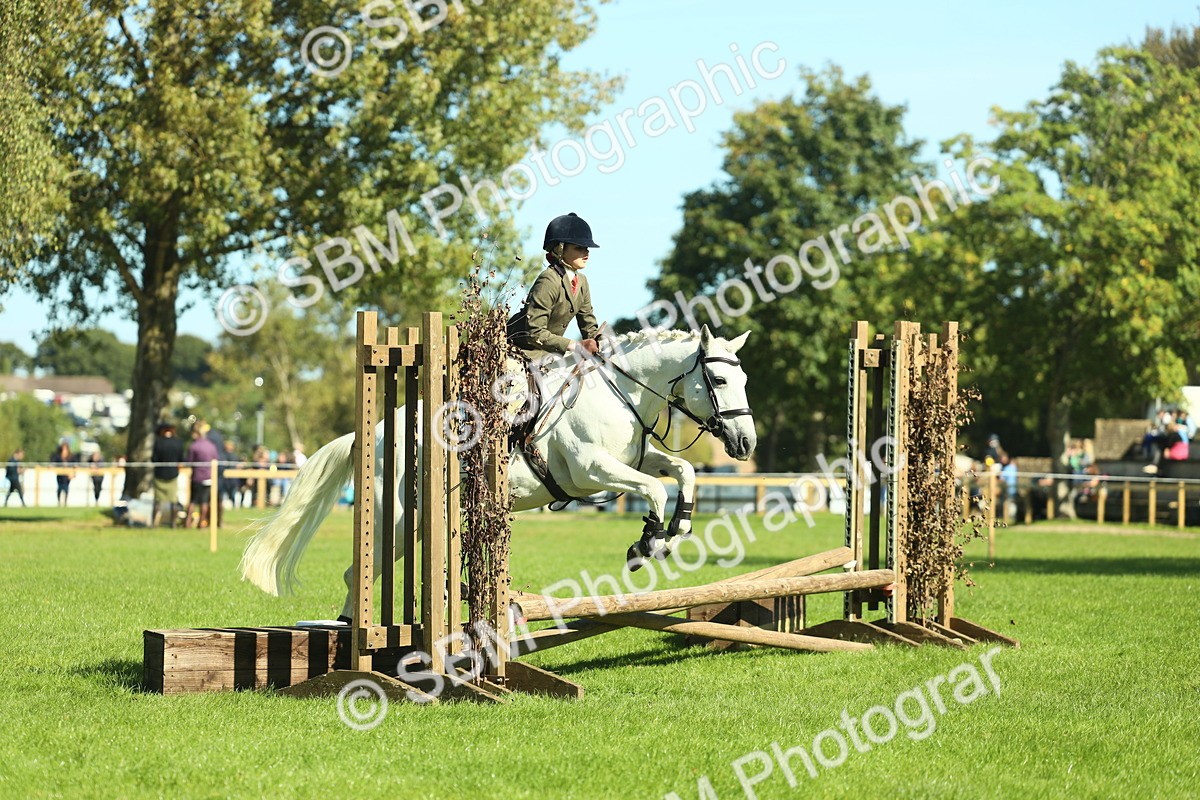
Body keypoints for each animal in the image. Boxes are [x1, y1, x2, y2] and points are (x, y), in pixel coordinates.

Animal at [239, 325, 757, 620]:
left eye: (745, 378)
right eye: (719, 379)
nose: (746, 444)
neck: (619, 391)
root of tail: (379, 431)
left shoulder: (628, 460)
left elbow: (682, 471)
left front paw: (678, 528)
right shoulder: (590, 471)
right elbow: (653, 490)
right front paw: (647, 543)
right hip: (400, 520)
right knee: (357, 573)